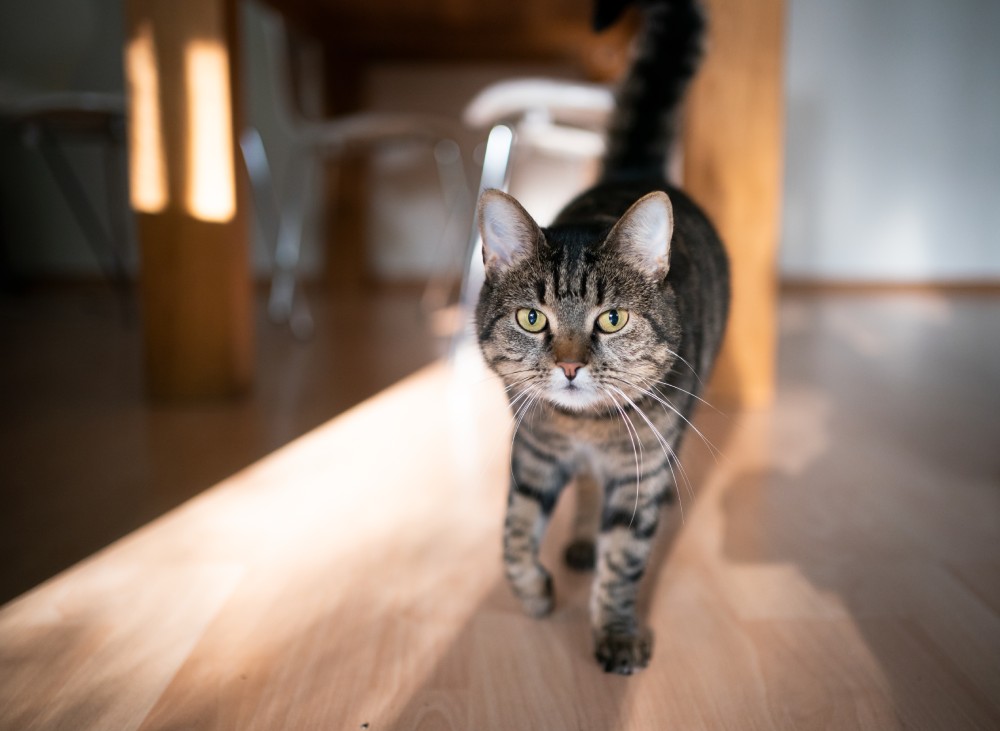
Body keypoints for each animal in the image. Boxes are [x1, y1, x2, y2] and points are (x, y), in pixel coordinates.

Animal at [472, 0, 732, 676]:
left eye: (611, 319)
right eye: (531, 319)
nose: (569, 367)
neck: (584, 430)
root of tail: (635, 167)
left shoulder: (643, 470)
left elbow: (624, 561)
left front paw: (615, 631)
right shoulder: (533, 452)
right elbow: (512, 535)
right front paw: (536, 594)